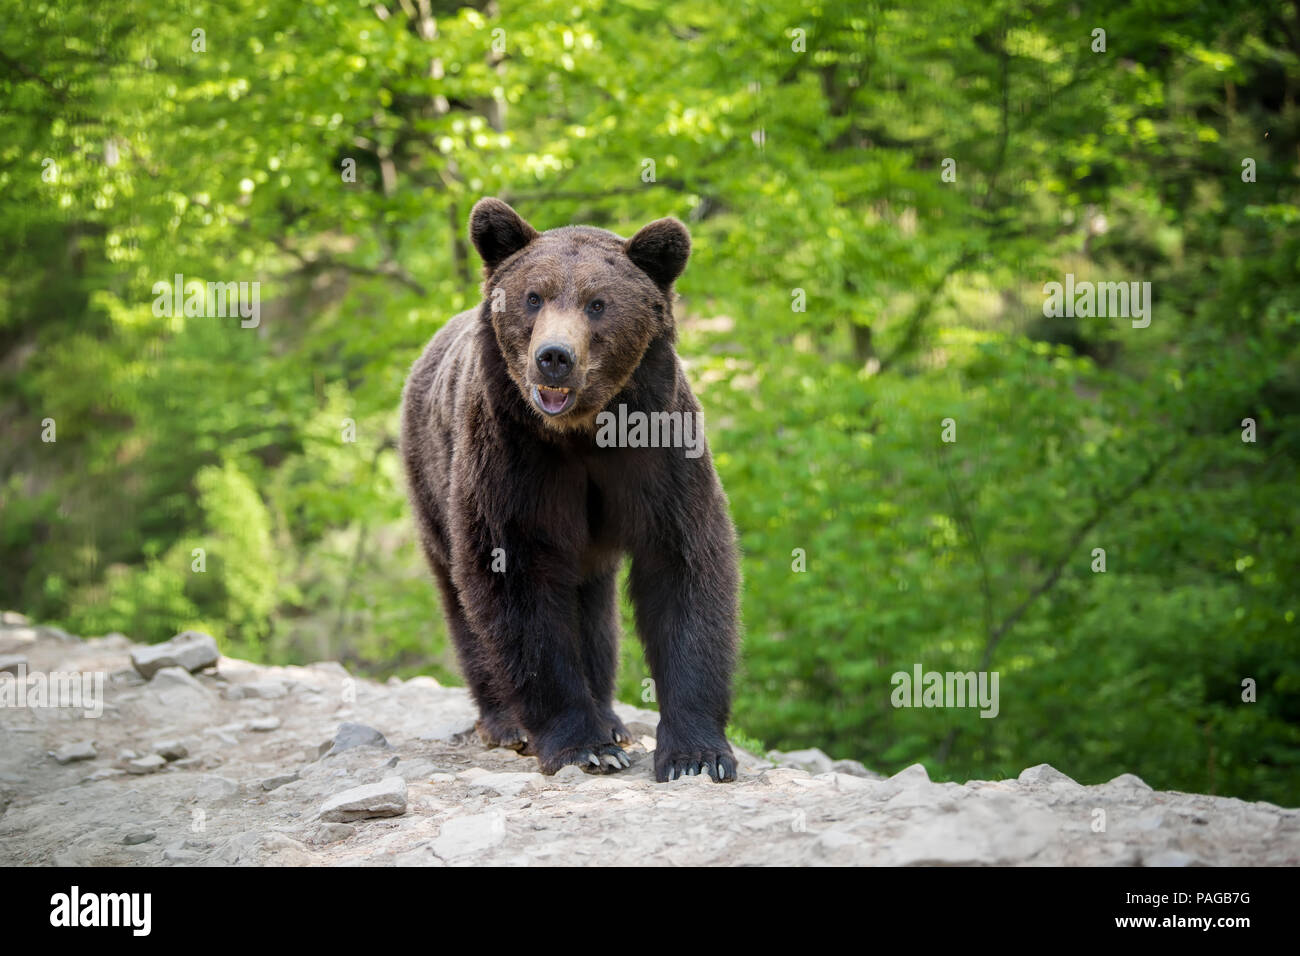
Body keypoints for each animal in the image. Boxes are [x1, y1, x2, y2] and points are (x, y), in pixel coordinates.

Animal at [395, 197, 743, 780]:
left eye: (598, 304)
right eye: (533, 297)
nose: (554, 356)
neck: (583, 432)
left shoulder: (658, 453)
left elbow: (682, 564)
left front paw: (695, 754)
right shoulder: (513, 462)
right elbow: (515, 583)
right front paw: (582, 745)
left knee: (593, 608)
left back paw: (611, 717)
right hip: (431, 472)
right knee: (461, 596)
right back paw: (507, 722)